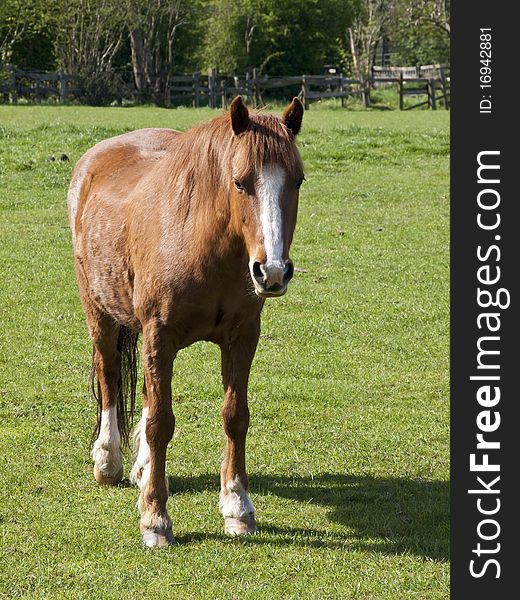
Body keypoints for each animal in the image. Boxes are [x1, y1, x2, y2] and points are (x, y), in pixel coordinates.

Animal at [68, 96, 304, 548]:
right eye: (240, 183)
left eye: (297, 181)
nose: (272, 271)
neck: (203, 244)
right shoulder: (159, 336)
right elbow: (161, 422)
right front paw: (155, 518)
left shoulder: (242, 337)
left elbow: (235, 416)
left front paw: (237, 507)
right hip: (100, 313)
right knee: (109, 376)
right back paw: (108, 461)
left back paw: (142, 468)